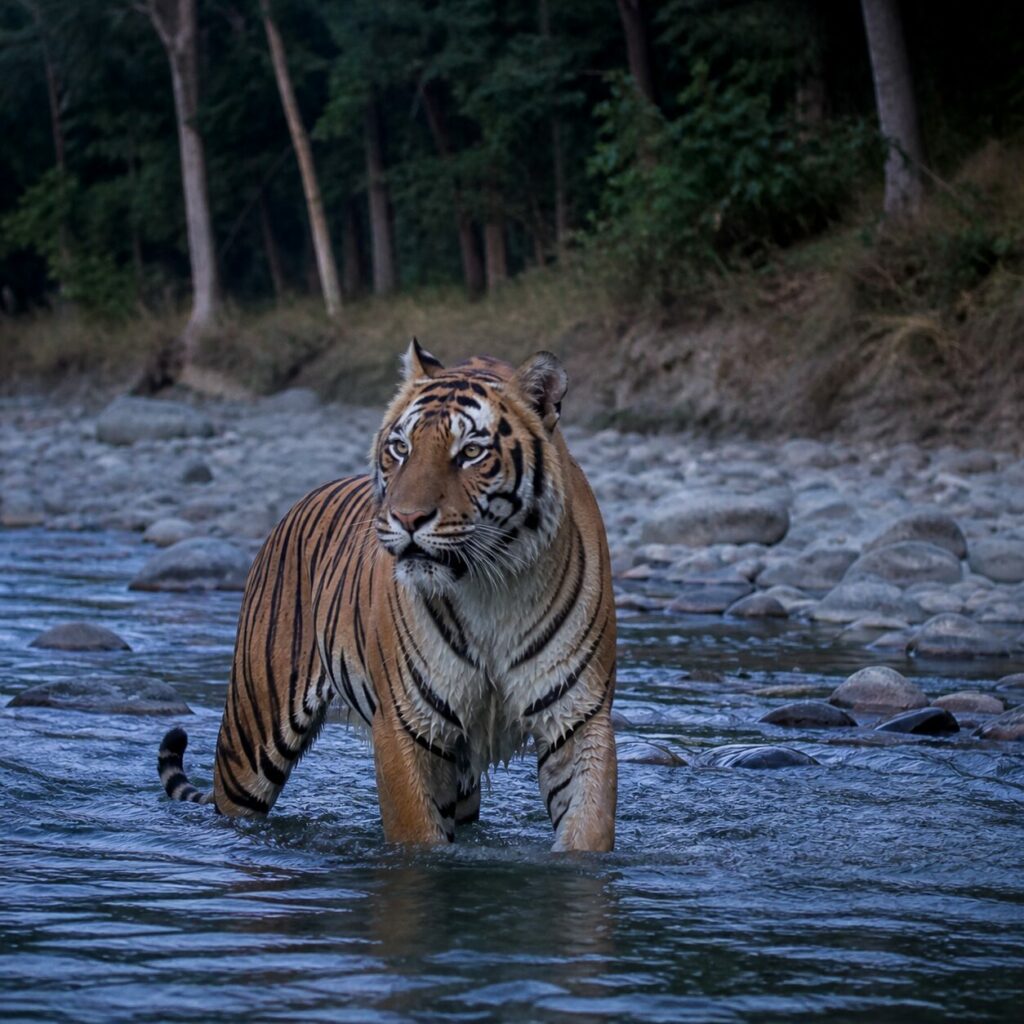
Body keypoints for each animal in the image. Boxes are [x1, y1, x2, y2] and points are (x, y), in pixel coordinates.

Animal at [158, 341, 617, 852]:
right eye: (401, 448)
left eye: (471, 452)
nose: (408, 518)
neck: (490, 586)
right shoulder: (406, 724)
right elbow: (417, 838)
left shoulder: (578, 718)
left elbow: (587, 827)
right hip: (252, 733)